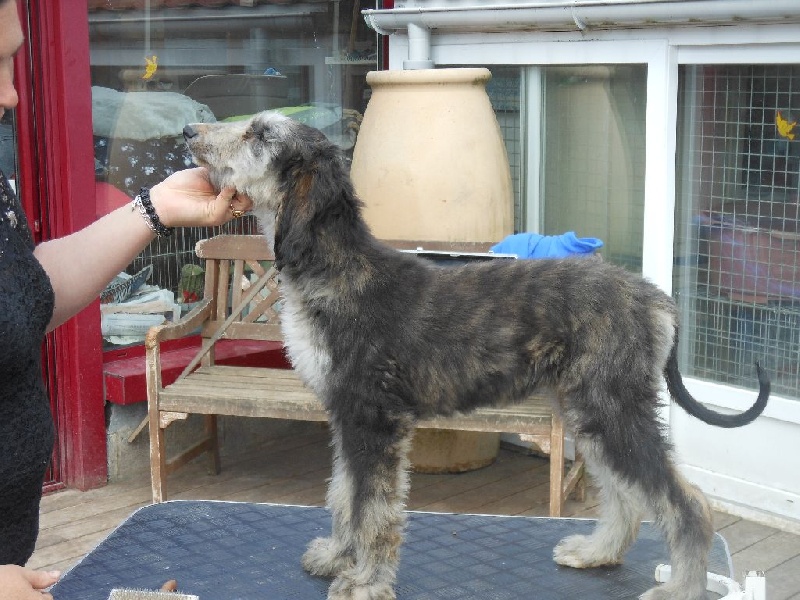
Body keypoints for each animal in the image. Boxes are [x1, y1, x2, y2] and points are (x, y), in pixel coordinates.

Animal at [183, 109, 768, 600]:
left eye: (259, 135)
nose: (190, 132)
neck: (337, 268)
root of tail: (655, 300)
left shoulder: (374, 420)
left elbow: (374, 510)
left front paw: (365, 582)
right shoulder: (347, 419)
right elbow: (344, 495)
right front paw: (337, 557)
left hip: (613, 410)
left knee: (686, 504)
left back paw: (680, 588)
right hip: (591, 412)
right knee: (625, 494)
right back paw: (596, 553)